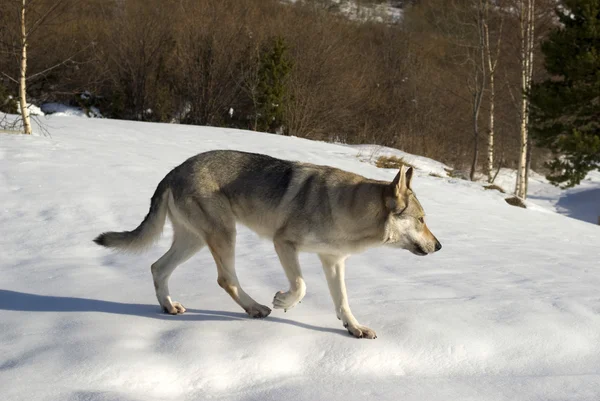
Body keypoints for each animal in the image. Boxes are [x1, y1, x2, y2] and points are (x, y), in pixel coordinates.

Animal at [94, 150, 440, 338]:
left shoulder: (333, 261)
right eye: (422, 219)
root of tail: (174, 170)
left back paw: (168, 306)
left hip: (194, 240)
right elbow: (300, 285)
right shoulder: (283, 242)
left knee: (158, 267)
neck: (346, 208)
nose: (439, 247)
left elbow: (343, 302)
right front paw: (283, 302)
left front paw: (354, 329)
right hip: (224, 235)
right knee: (225, 278)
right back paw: (256, 308)